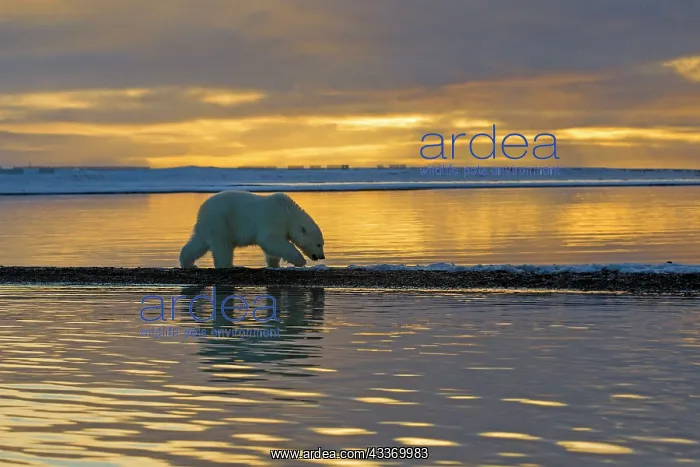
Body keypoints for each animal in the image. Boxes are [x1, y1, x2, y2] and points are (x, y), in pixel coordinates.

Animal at [179, 190, 325, 269]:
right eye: (319, 244)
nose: (322, 256)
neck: (288, 213)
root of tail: (201, 211)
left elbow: (273, 248)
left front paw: (274, 264)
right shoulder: (272, 219)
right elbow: (270, 240)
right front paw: (301, 261)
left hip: (208, 226)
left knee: (198, 243)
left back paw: (188, 263)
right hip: (221, 221)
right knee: (223, 246)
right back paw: (227, 265)